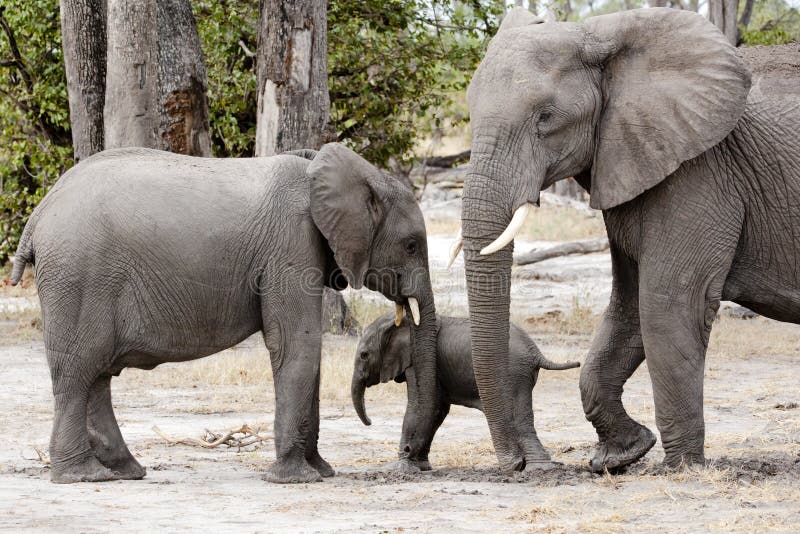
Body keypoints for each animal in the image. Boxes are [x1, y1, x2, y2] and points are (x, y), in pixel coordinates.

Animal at [10, 142, 438, 486]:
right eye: (412, 245)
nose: (413, 461)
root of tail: (39, 213)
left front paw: (322, 471)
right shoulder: (290, 245)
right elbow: (297, 345)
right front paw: (296, 479)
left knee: (97, 373)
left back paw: (125, 471)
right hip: (78, 276)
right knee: (78, 372)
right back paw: (84, 476)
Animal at [354, 314, 580, 474]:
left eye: (364, 355)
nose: (370, 422)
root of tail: (536, 352)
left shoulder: (420, 360)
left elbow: (421, 404)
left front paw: (402, 468)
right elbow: (438, 409)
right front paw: (421, 467)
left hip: (513, 374)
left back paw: (536, 468)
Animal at [460, 5, 800, 474]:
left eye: (545, 117)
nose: (517, 464)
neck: (606, 37)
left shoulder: (700, 169)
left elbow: (666, 303)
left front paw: (681, 469)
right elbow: (628, 306)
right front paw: (620, 456)